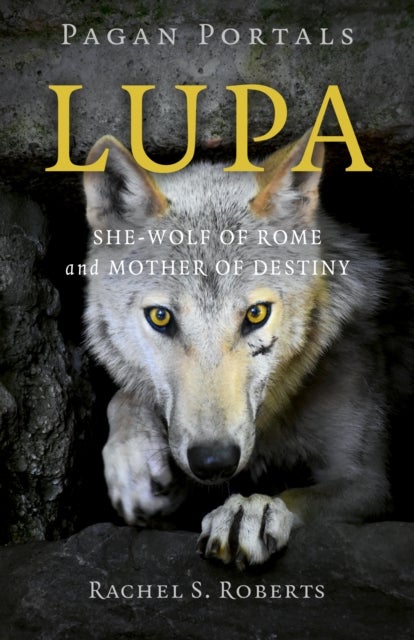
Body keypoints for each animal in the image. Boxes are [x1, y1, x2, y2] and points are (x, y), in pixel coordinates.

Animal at [83, 132, 391, 569]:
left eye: (256, 314)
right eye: (160, 317)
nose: (214, 461)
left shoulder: (367, 481)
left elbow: (298, 494)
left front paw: (251, 508)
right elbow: (123, 397)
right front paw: (132, 465)